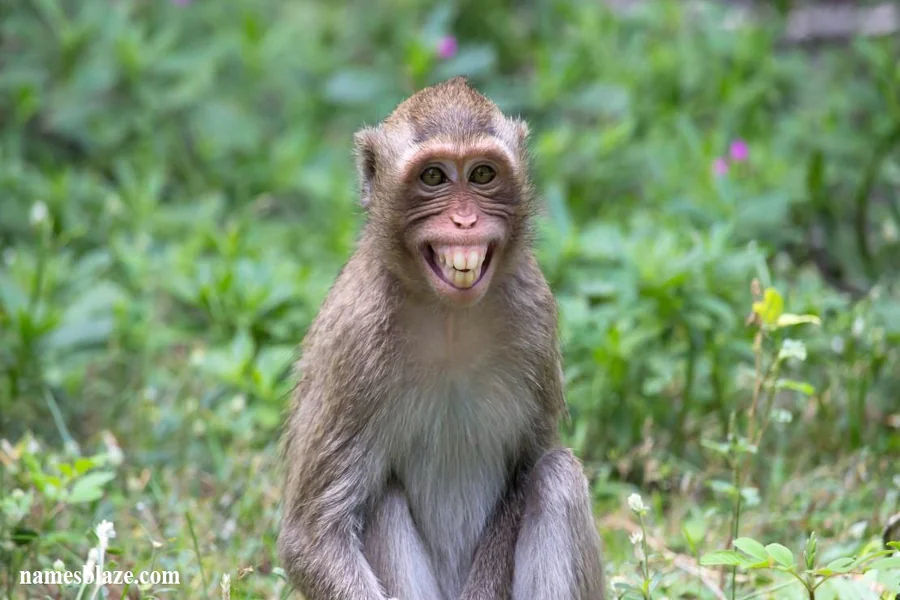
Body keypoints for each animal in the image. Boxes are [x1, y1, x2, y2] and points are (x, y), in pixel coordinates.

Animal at [278, 76, 605, 600]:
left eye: (483, 174)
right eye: (433, 177)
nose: (465, 222)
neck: (449, 317)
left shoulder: (534, 311)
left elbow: (528, 467)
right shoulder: (354, 339)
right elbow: (312, 537)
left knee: (557, 476)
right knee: (382, 501)